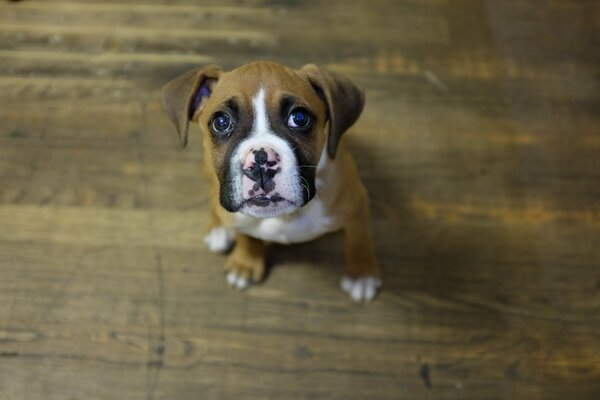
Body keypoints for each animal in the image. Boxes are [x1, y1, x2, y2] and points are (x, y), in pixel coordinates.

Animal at [162, 61, 382, 302]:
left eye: (299, 118)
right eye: (221, 122)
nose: (260, 161)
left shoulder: (358, 208)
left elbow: (359, 243)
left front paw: (361, 275)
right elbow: (246, 237)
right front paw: (246, 263)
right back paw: (218, 229)